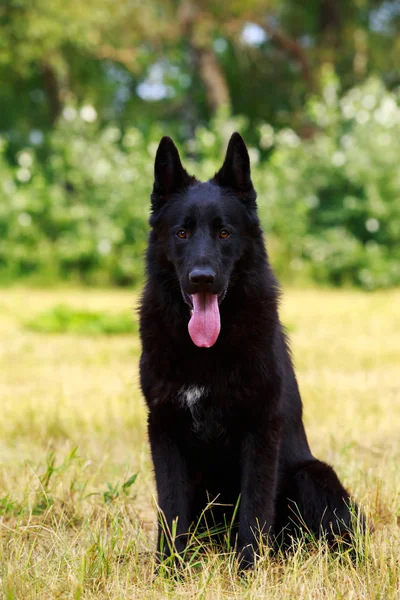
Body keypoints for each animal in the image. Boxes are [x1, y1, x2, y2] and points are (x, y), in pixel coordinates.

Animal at [139, 131, 364, 568]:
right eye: (181, 233)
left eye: (225, 233)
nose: (202, 278)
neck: (206, 351)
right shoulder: (164, 430)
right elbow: (171, 510)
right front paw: (170, 572)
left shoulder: (260, 432)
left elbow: (255, 512)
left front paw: (248, 571)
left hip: (313, 476)